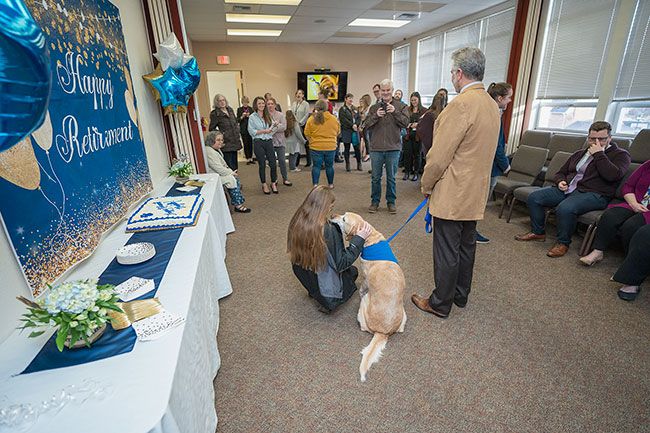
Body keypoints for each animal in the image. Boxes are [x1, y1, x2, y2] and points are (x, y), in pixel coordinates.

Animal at [332, 211, 402, 380]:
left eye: (344, 219)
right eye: (343, 214)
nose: (333, 215)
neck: (370, 237)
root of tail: (383, 332)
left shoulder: (365, 276)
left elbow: (363, 285)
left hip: (364, 304)